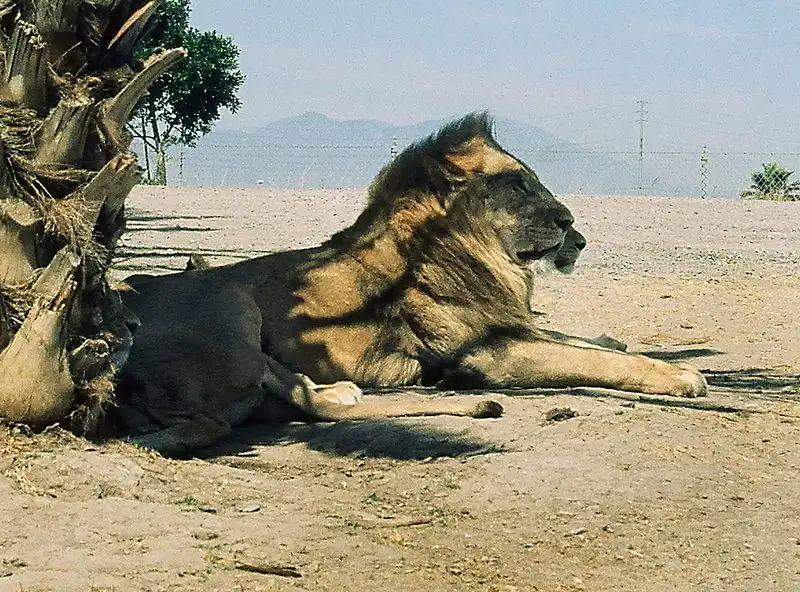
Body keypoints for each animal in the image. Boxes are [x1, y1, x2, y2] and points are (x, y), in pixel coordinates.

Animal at [114, 112, 706, 455]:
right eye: (518, 185)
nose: (572, 226)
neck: (487, 260)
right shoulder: (488, 353)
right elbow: (595, 361)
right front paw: (682, 376)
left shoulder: (510, 326)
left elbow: (586, 342)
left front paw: (620, 342)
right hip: (228, 297)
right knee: (303, 405)